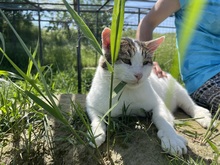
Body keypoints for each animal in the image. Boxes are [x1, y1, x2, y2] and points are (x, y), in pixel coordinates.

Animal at [85, 27, 211, 156]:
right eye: (126, 60)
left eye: (145, 62)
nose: (139, 75)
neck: (124, 89)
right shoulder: (91, 102)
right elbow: (96, 117)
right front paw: (96, 133)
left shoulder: (158, 103)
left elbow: (162, 118)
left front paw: (172, 139)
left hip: (178, 90)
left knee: (190, 104)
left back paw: (202, 116)